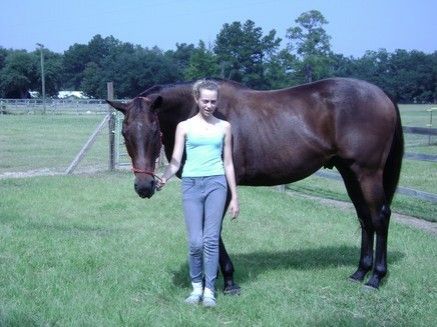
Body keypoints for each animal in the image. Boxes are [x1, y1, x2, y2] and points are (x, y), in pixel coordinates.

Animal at [107, 78, 404, 294]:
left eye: (154, 131)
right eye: (125, 133)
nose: (144, 186)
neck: (203, 115)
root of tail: (380, 93)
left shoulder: (224, 185)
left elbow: (213, 228)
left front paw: (228, 281)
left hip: (367, 173)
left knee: (379, 216)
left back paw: (375, 278)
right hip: (350, 172)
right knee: (365, 218)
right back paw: (359, 272)